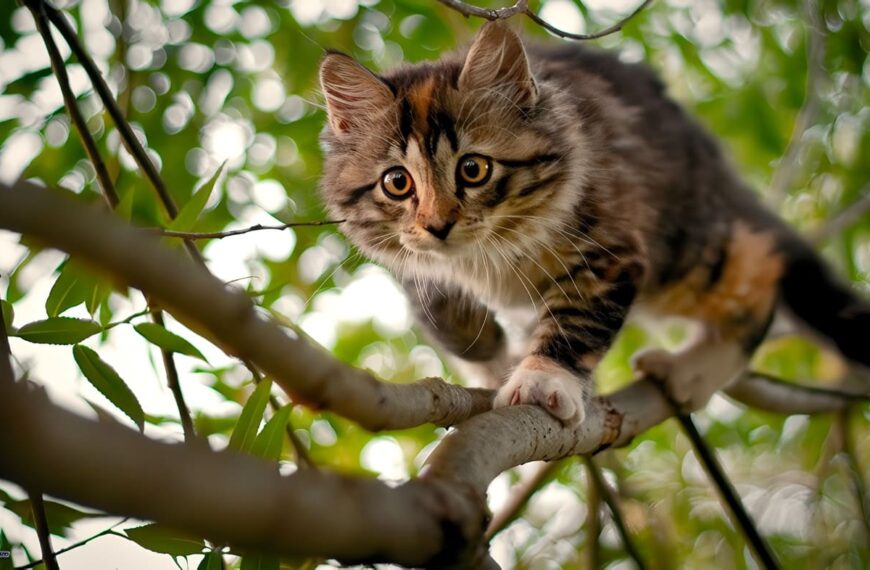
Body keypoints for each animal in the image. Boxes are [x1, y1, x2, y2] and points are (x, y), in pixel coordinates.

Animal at [318, 21, 870, 422]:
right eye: (398, 183)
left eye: (473, 169)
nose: (438, 225)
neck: (486, 254)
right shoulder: (418, 269)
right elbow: (445, 318)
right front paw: (494, 363)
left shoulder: (610, 251)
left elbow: (575, 326)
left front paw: (539, 379)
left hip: (685, 250)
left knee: (761, 273)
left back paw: (691, 374)